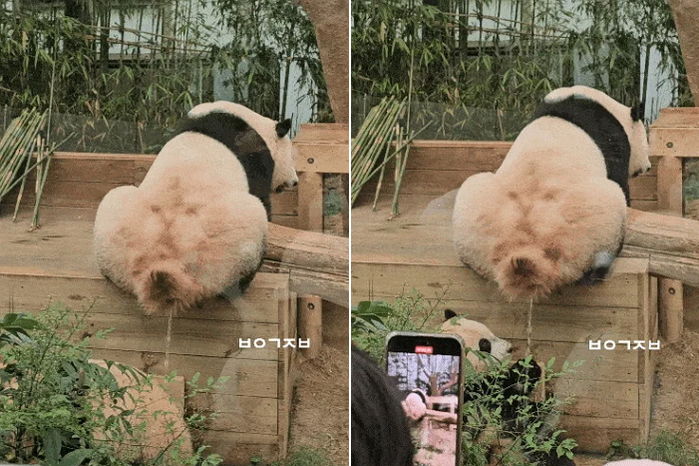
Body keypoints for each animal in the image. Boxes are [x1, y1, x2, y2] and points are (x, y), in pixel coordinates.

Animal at [93, 101, 298, 314]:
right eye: (292, 156)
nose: (294, 182)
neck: (255, 123)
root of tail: (164, 264)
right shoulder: (256, 157)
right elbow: (262, 198)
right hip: (222, 249)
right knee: (252, 217)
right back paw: (242, 284)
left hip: (120, 229)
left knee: (114, 198)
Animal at [452, 85, 652, 298]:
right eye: (646, 143)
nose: (648, 167)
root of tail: (526, 251)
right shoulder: (613, 140)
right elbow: (621, 181)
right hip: (586, 222)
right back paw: (597, 270)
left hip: (478, 210)